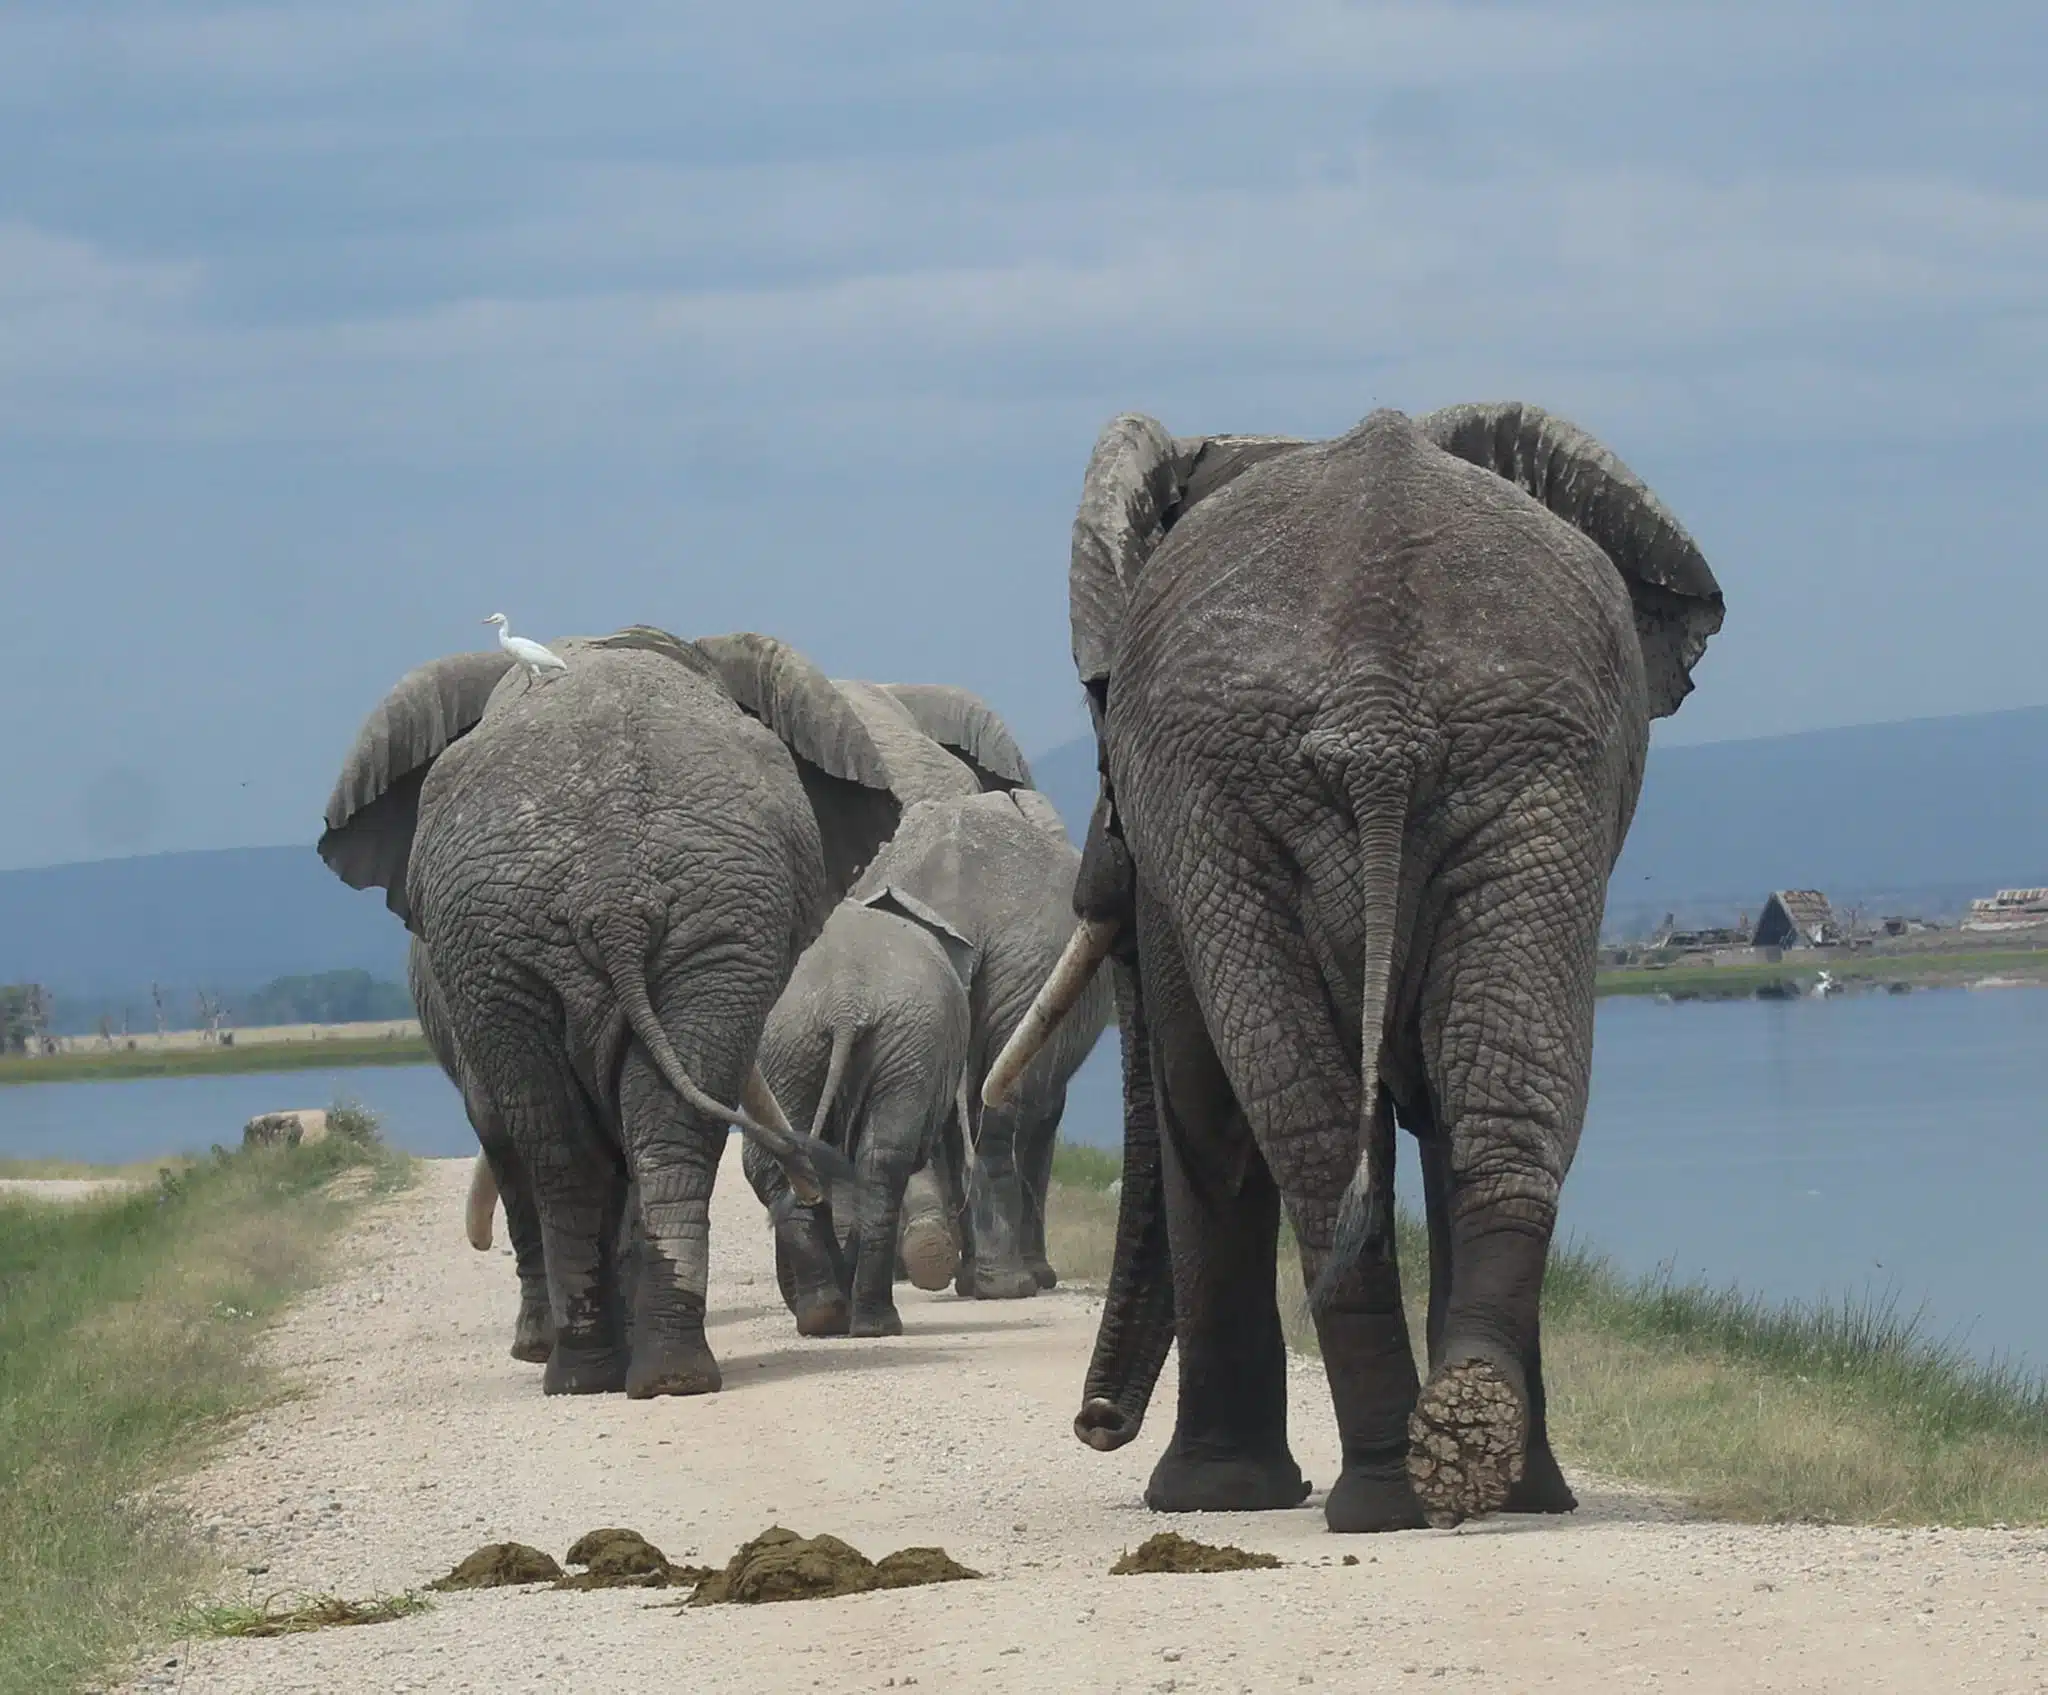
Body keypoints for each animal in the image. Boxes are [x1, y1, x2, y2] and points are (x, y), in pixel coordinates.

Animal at [318, 625, 899, 1398]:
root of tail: (614, 897)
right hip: (559, 936)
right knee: (605, 1137)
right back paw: (637, 1375)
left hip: (628, 927)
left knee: (582, 1142)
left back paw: (607, 1372)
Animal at [741, 885, 978, 1338]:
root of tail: (845, 1004)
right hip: (820, 1042)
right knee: (876, 1161)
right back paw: (853, 1321)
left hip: (818, 1041)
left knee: (838, 1159)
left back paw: (838, 1320)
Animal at [849, 787, 1113, 1301]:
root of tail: (952, 900)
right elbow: (1044, 1119)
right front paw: (1042, 1276)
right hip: (1024, 972)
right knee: (999, 1116)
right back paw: (1006, 1284)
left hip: (982, 973)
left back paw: (943, 1263)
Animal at [986, 403, 1724, 1531]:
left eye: (1097, 706)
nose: (1094, 1423)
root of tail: (1380, 716)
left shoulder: (1183, 842)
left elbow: (1198, 1104)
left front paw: (1208, 1498)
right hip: (1521, 784)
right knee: (1486, 1097)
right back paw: (1467, 1461)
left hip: (1283, 792)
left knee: (1297, 1125)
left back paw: (1389, 1490)